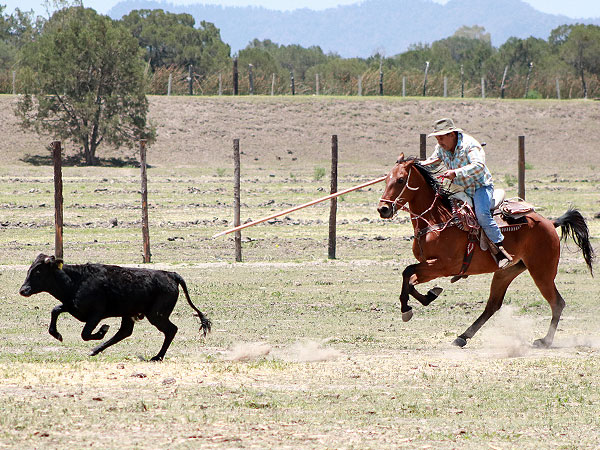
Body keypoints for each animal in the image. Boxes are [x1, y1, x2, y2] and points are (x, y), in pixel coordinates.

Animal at [378, 155, 592, 348]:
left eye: (400, 180)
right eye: (386, 179)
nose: (383, 209)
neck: (436, 220)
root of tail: (550, 222)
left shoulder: (442, 266)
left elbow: (408, 272)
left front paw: (409, 307)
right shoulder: (430, 266)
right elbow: (410, 279)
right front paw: (427, 296)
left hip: (542, 272)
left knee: (557, 303)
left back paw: (544, 341)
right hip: (506, 272)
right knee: (493, 306)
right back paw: (462, 337)